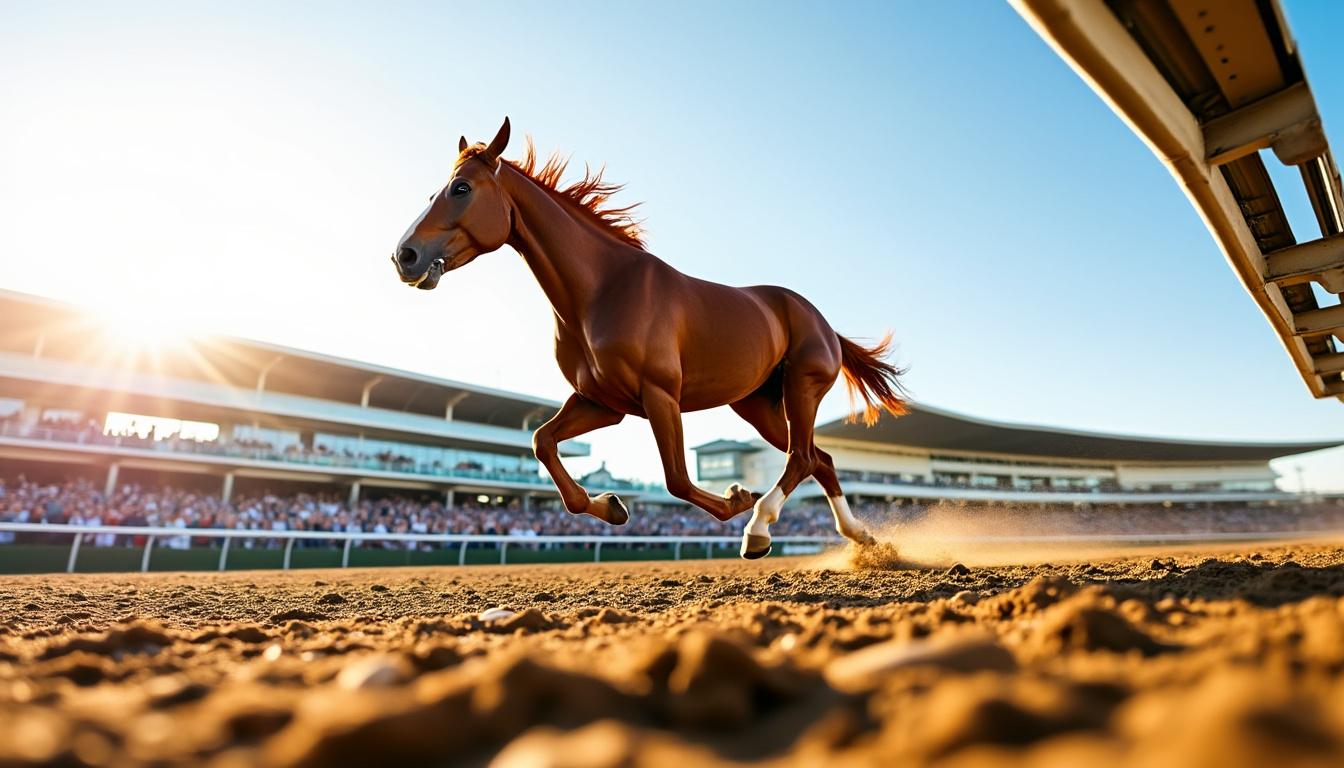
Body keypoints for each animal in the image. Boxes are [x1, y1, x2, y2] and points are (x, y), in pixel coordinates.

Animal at [392, 118, 908, 558]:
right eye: (437, 189)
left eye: (461, 188)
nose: (405, 255)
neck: (601, 289)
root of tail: (821, 321)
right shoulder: (604, 401)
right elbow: (543, 442)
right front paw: (611, 505)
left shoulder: (659, 394)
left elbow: (676, 479)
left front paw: (738, 496)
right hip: (758, 405)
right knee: (821, 458)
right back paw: (862, 536)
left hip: (801, 386)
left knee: (801, 456)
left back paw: (759, 527)